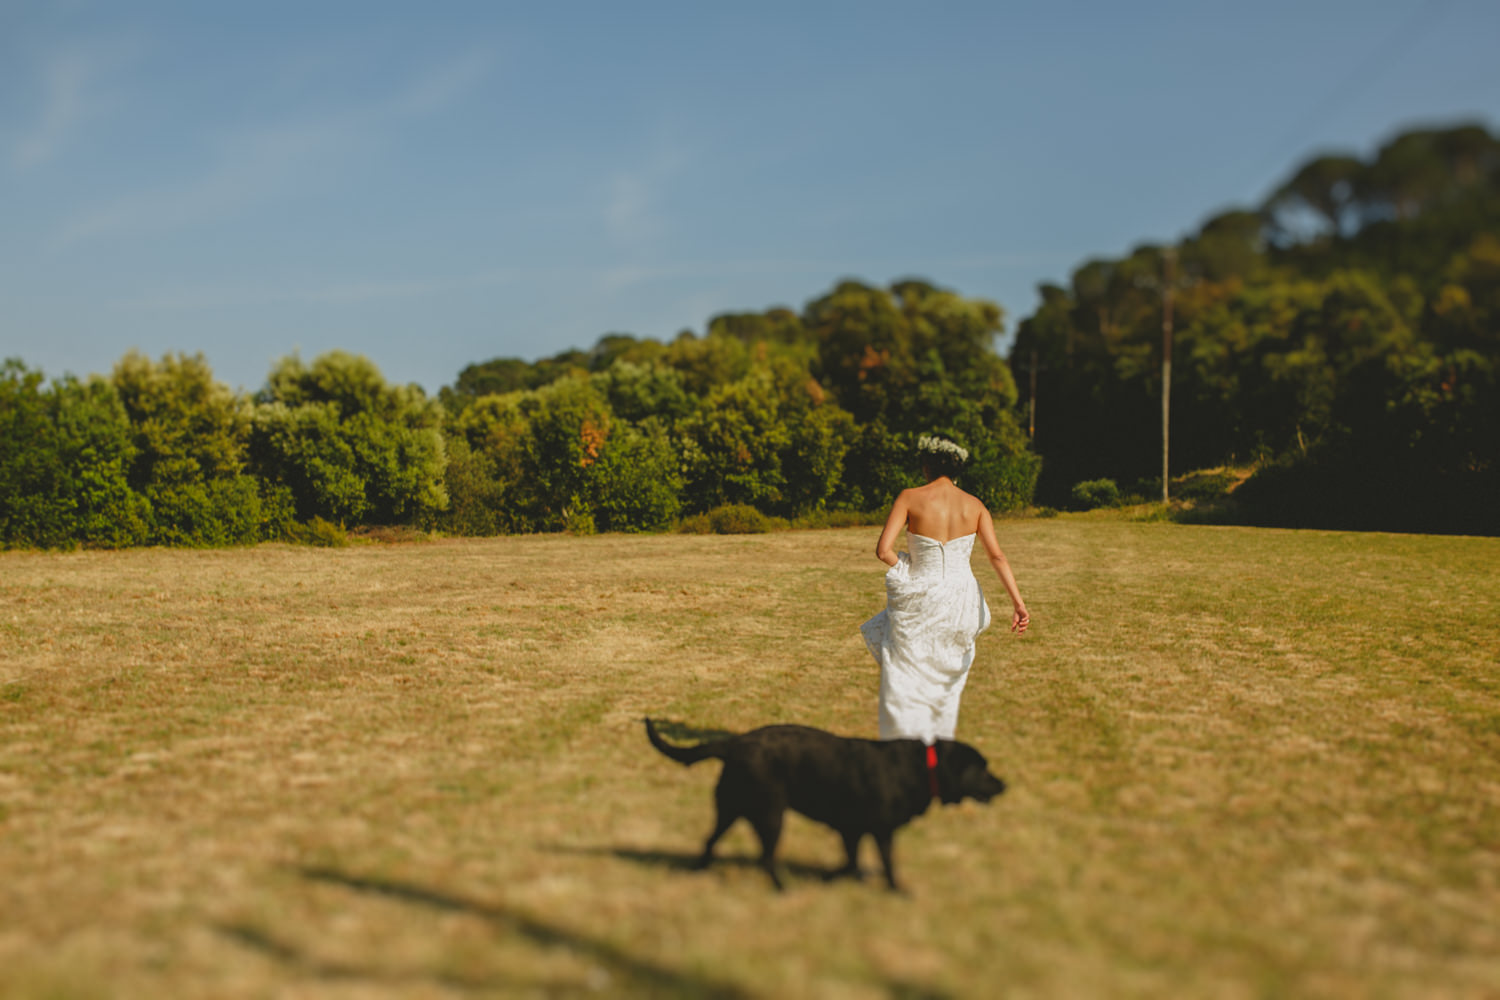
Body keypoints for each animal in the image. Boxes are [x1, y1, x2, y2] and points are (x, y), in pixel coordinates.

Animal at [645, 719, 1008, 893]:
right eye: (983, 768)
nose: (1004, 784)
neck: (923, 767)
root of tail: (734, 744)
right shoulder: (881, 831)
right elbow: (888, 863)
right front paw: (898, 891)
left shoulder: (851, 830)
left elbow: (850, 863)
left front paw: (834, 879)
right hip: (771, 815)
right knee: (765, 858)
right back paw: (783, 890)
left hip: (731, 808)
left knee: (709, 841)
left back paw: (700, 872)